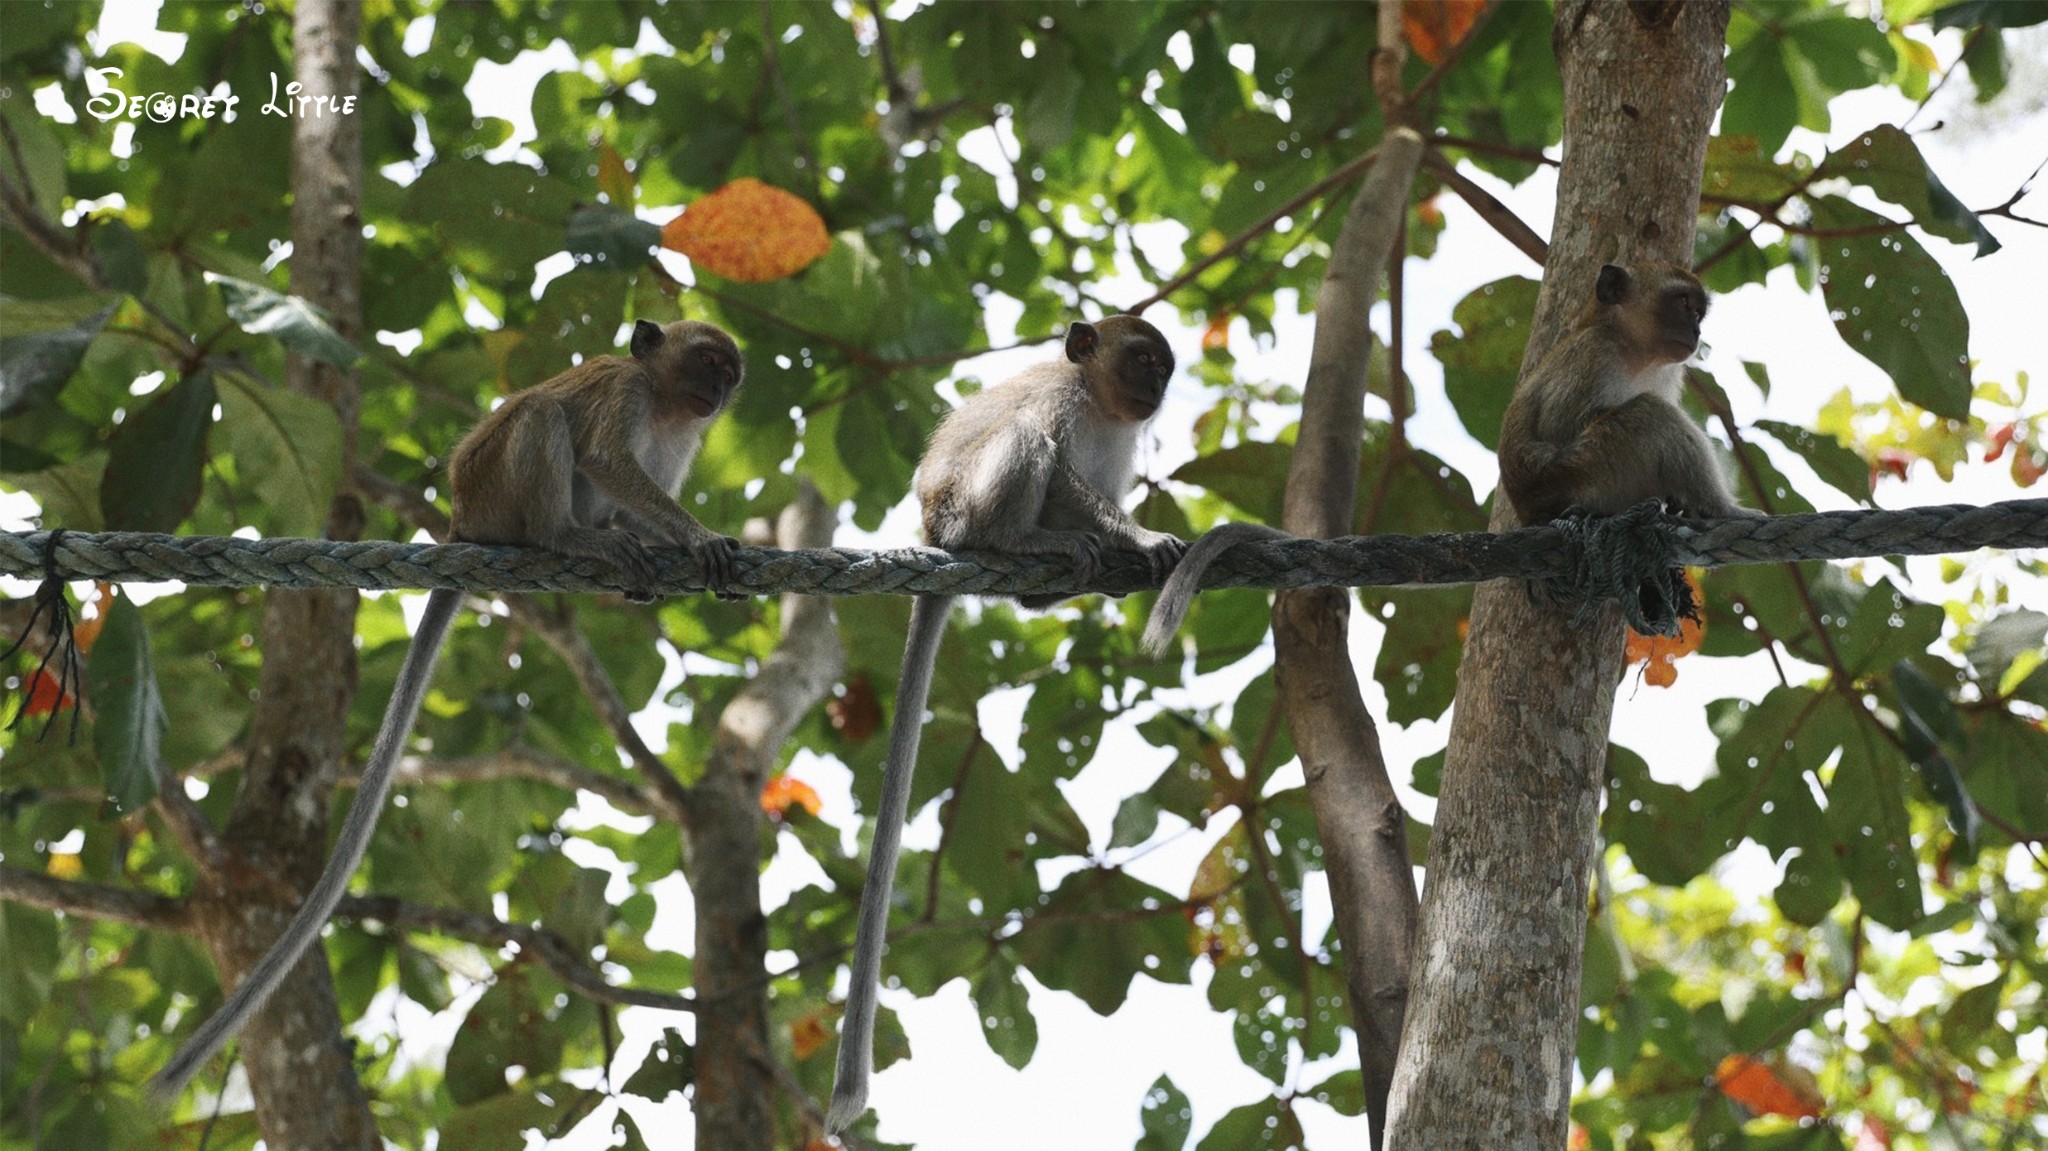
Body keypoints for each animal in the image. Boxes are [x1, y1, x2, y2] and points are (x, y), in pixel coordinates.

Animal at [149, 317, 745, 1097]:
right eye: (705, 361)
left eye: (728, 375)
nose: (718, 392)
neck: (668, 405)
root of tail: (462, 520)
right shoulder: (626, 393)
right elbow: (610, 460)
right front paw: (698, 535)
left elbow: (636, 494)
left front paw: (671, 544)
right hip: (494, 487)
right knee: (542, 417)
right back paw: (564, 535)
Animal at [827, 313, 1196, 1130]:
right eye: (1141, 360)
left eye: (1162, 368)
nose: (1155, 388)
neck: (1100, 407)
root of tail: (935, 532)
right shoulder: (1063, 402)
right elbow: (1064, 474)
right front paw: (1139, 536)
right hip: (965, 507)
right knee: (1026, 442)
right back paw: (1023, 545)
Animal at [1490, 261, 1761, 524]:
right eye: (1683, 302)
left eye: (1697, 313)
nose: (1696, 331)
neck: (1634, 353)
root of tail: (1531, 511)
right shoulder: (1592, 352)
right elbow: (1559, 428)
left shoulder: (1669, 371)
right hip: (1581, 473)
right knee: (1650, 411)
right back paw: (1719, 508)